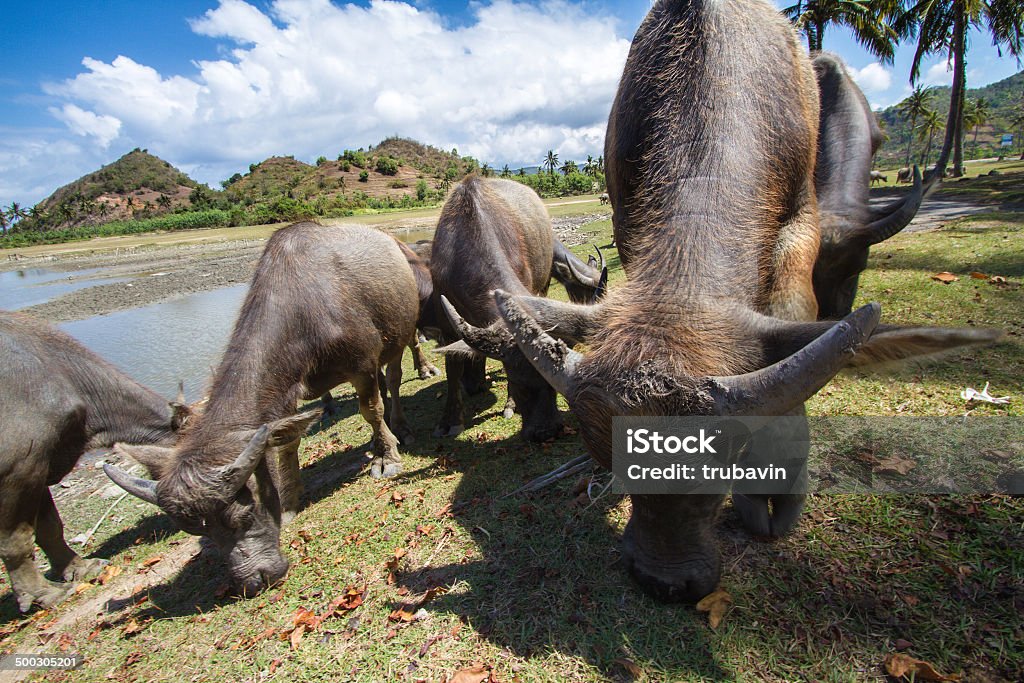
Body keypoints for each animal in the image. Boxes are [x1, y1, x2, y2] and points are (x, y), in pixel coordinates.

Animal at [0, 313, 190, 610]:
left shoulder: (40, 465)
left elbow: (50, 527)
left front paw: (82, 568)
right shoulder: (18, 470)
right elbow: (16, 541)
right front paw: (47, 594)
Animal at [104, 225, 419, 598]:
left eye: (244, 512)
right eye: (200, 532)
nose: (255, 579)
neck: (306, 309)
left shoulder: (362, 365)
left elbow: (371, 409)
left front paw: (387, 457)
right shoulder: (286, 389)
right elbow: (287, 441)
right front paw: (290, 497)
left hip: (400, 335)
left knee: (394, 379)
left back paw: (398, 427)